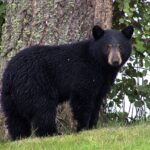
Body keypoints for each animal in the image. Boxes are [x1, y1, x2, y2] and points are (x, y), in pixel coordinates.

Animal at [0, 25, 134, 140]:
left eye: (121, 46)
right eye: (107, 46)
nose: (115, 61)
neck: (99, 64)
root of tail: (11, 74)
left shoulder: (102, 82)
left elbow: (96, 102)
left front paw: (92, 126)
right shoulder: (83, 73)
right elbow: (82, 100)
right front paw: (83, 128)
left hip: (9, 96)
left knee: (15, 118)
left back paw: (20, 137)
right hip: (35, 85)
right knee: (43, 110)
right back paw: (52, 133)